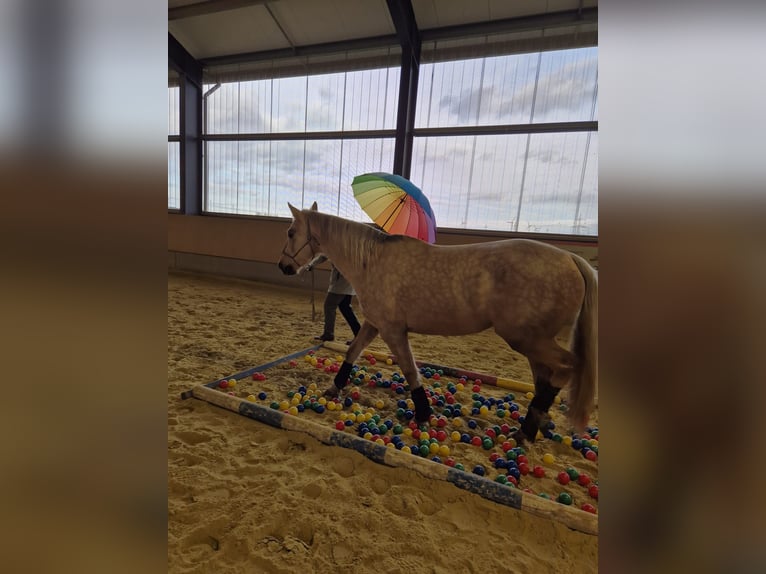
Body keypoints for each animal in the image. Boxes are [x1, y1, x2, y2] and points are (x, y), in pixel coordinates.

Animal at [278, 202, 597, 443]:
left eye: (291, 232)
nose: (284, 266)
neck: (371, 261)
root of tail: (572, 259)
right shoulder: (375, 323)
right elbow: (352, 351)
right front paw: (335, 387)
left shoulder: (393, 330)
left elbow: (410, 370)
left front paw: (423, 413)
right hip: (532, 342)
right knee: (544, 380)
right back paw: (530, 428)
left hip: (527, 339)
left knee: (566, 368)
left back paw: (529, 428)